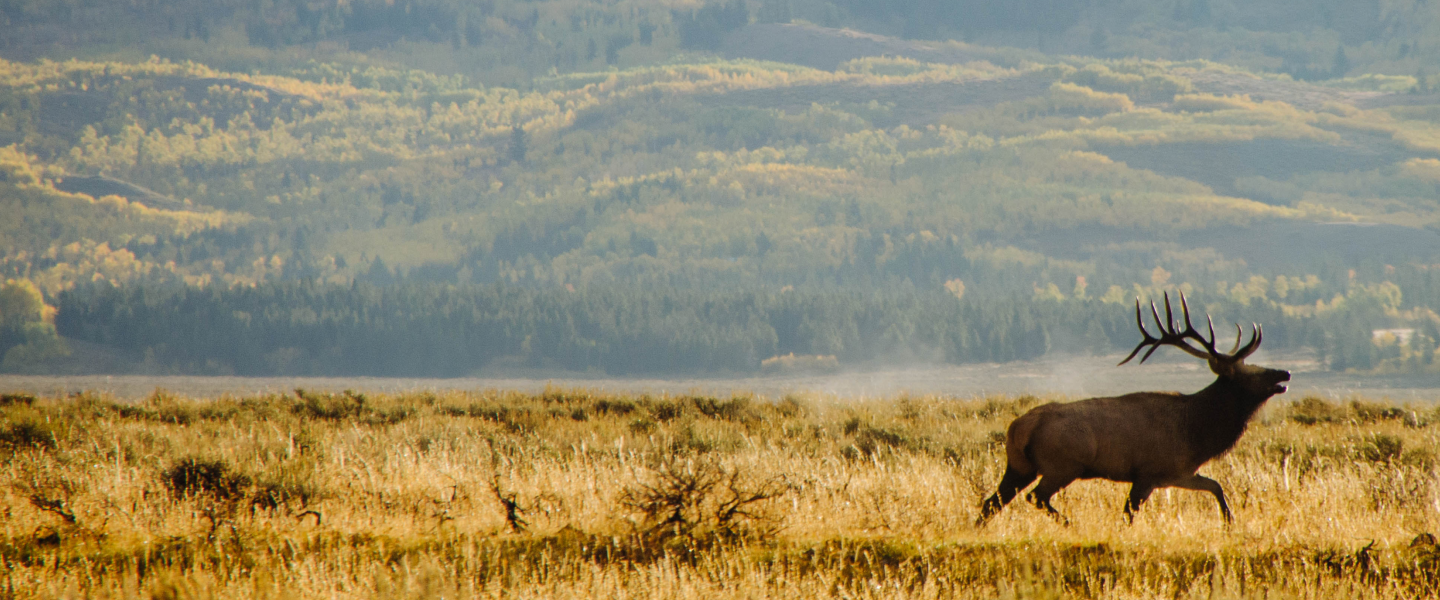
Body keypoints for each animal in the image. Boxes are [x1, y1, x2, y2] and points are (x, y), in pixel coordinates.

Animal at [975, 292, 1290, 526]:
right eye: (1249, 372)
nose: (1284, 373)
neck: (1196, 434)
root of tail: (1018, 427)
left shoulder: (1177, 473)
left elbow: (1216, 485)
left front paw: (1229, 522)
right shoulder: (1148, 473)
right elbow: (1127, 514)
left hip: (1019, 465)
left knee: (992, 502)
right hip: (1063, 465)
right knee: (1035, 497)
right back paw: (1068, 523)